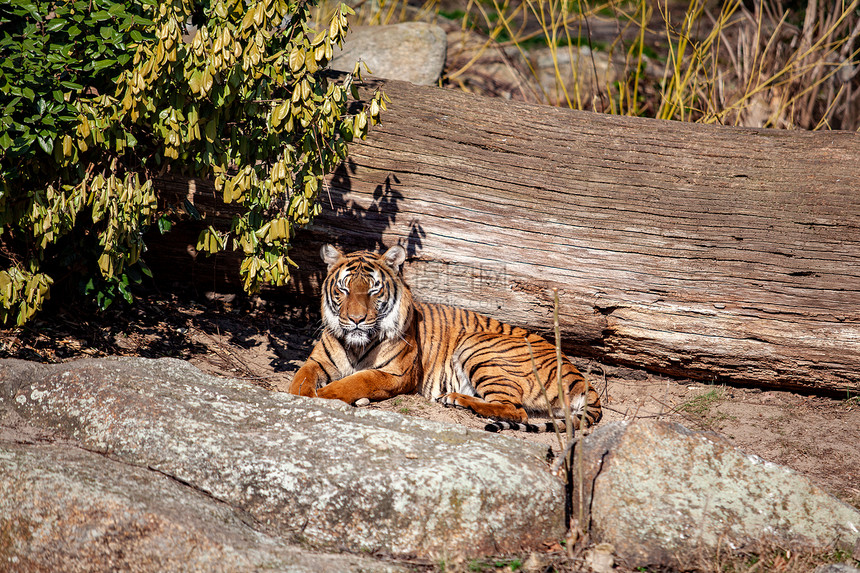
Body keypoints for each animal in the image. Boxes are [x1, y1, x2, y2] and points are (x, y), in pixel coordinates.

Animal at [288, 244, 596, 432]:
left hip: (478, 346)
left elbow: (357, 381)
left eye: (374, 290)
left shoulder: (397, 374)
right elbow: (300, 378)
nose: (356, 320)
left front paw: (324, 396)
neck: (355, 343)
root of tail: (580, 377)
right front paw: (298, 398)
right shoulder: (317, 361)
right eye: (344, 289)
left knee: (515, 410)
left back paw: (454, 399)